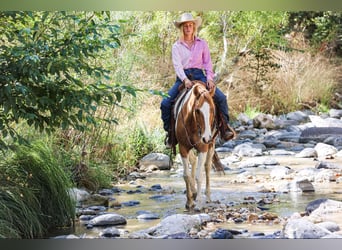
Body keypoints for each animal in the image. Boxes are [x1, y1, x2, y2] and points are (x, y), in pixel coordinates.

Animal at [174, 80, 219, 209]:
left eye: (212, 109)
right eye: (197, 110)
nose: (206, 138)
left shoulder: (203, 148)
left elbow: (200, 175)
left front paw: (199, 202)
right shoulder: (183, 148)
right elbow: (186, 175)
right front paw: (189, 201)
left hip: (211, 146)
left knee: (207, 167)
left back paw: (207, 197)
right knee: (193, 161)